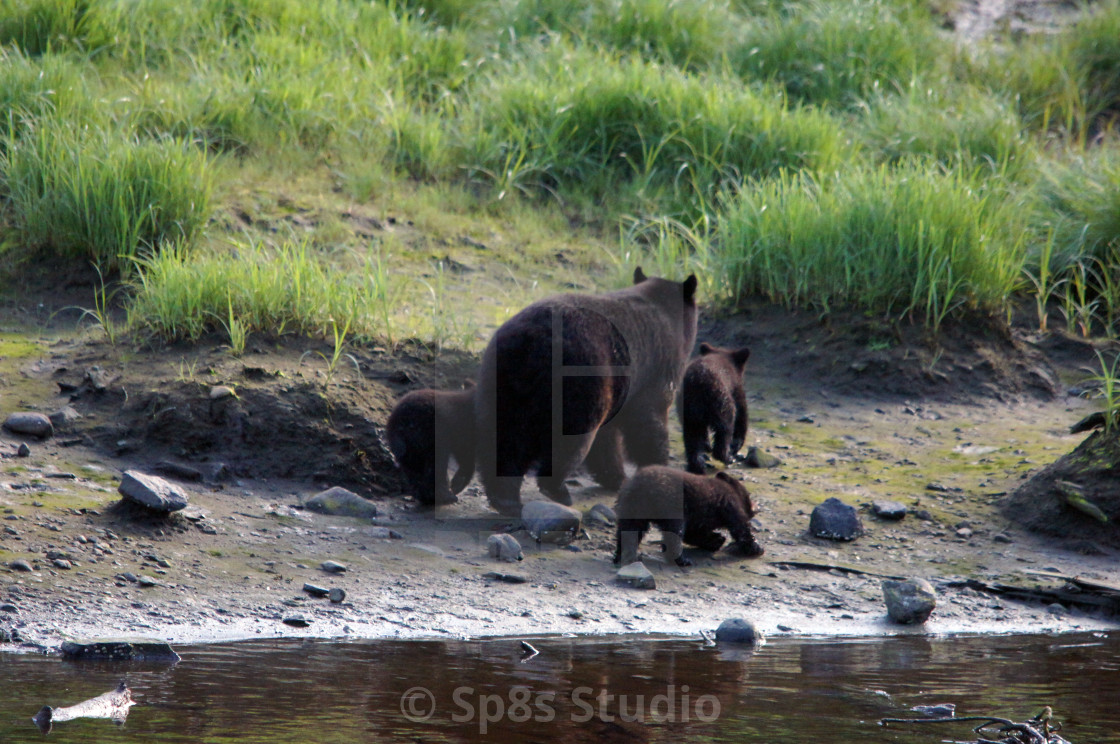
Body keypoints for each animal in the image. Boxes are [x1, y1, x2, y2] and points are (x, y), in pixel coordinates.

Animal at [474, 268, 698, 517]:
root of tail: (532, 342)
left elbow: (608, 436)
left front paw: (616, 477)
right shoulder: (654, 369)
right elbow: (648, 420)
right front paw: (656, 467)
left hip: (500, 379)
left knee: (503, 435)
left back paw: (505, 498)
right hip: (581, 380)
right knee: (571, 439)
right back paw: (556, 489)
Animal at [672, 340, 752, 472]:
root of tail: (698, 382)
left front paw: (706, 446)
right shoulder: (735, 389)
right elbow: (741, 414)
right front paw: (736, 445)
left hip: (687, 408)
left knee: (691, 434)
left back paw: (696, 464)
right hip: (720, 400)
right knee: (725, 428)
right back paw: (726, 457)